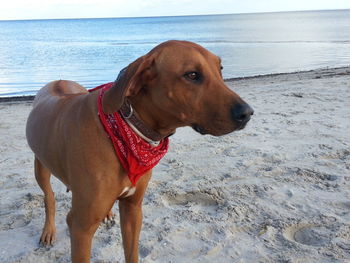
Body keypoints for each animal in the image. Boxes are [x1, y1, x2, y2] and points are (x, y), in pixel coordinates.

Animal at [25, 40, 254, 262]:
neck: (127, 129)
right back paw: (48, 230)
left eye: (220, 69)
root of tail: (58, 81)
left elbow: (132, 252)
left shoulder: (133, 209)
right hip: (40, 165)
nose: (247, 113)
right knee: (49, 197)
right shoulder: (81, 227)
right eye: (192, 75)